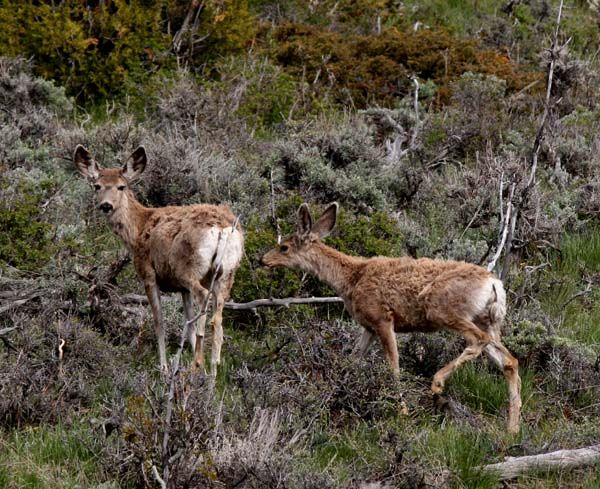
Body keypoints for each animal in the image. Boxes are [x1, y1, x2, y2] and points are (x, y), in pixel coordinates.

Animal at [73, 145, 244, 374]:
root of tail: (221, 228)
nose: (106, 205)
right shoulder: (181, 289)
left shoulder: (148, 273)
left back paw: (197, 365)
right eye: (97, 186)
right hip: (226, 274)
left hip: (188, 268)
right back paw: (213, 369)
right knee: (218, 316)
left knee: (203, 298)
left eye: (121, 186)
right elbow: (187, 322)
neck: (138, 229)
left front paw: (163, 366)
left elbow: (159, 320)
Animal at [262, 201, 520, 430]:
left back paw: (437, 383)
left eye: (284, 247)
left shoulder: (382, 318)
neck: (351, 279)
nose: (262, 259)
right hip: (489, 321)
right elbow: (353, 360)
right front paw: (338, 389)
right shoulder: (368, 326)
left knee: (478, 341)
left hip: (445, 310)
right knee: (509, 361)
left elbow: (393, 367)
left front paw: (402, 411)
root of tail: (494, 284)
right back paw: (512, 430)